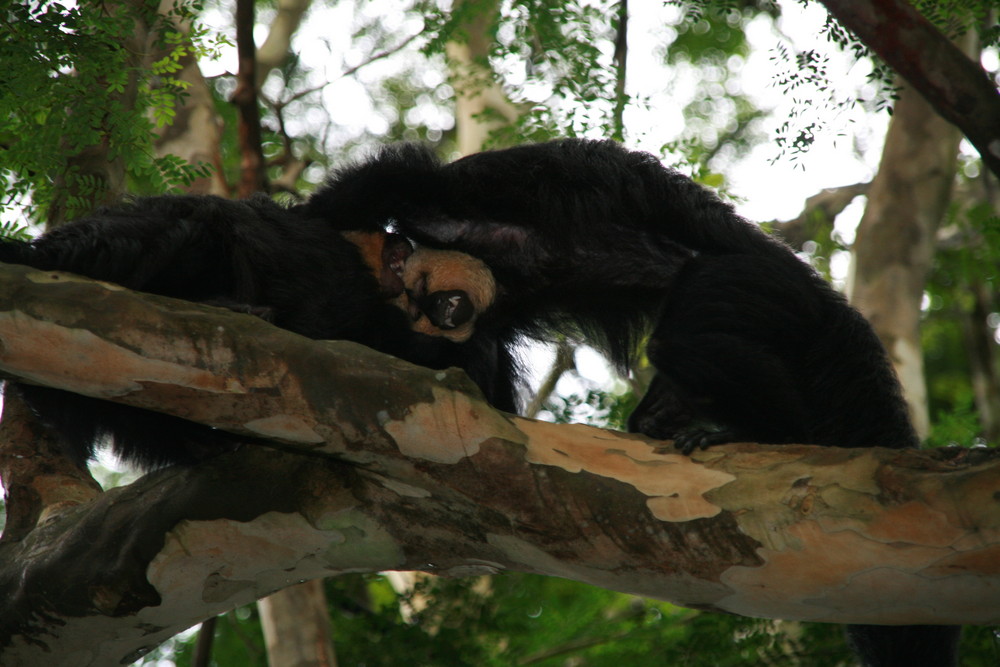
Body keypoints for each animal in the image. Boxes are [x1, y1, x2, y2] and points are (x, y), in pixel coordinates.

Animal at [310, 140, 960, 667]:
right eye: (416, 306)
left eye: (427, 294)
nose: (441, 316)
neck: (494, 270)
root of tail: (819, 292)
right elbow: (474, 388)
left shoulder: (473, 199)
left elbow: (402, 179)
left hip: (752, 279)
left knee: (687, 336)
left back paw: (771, 432)